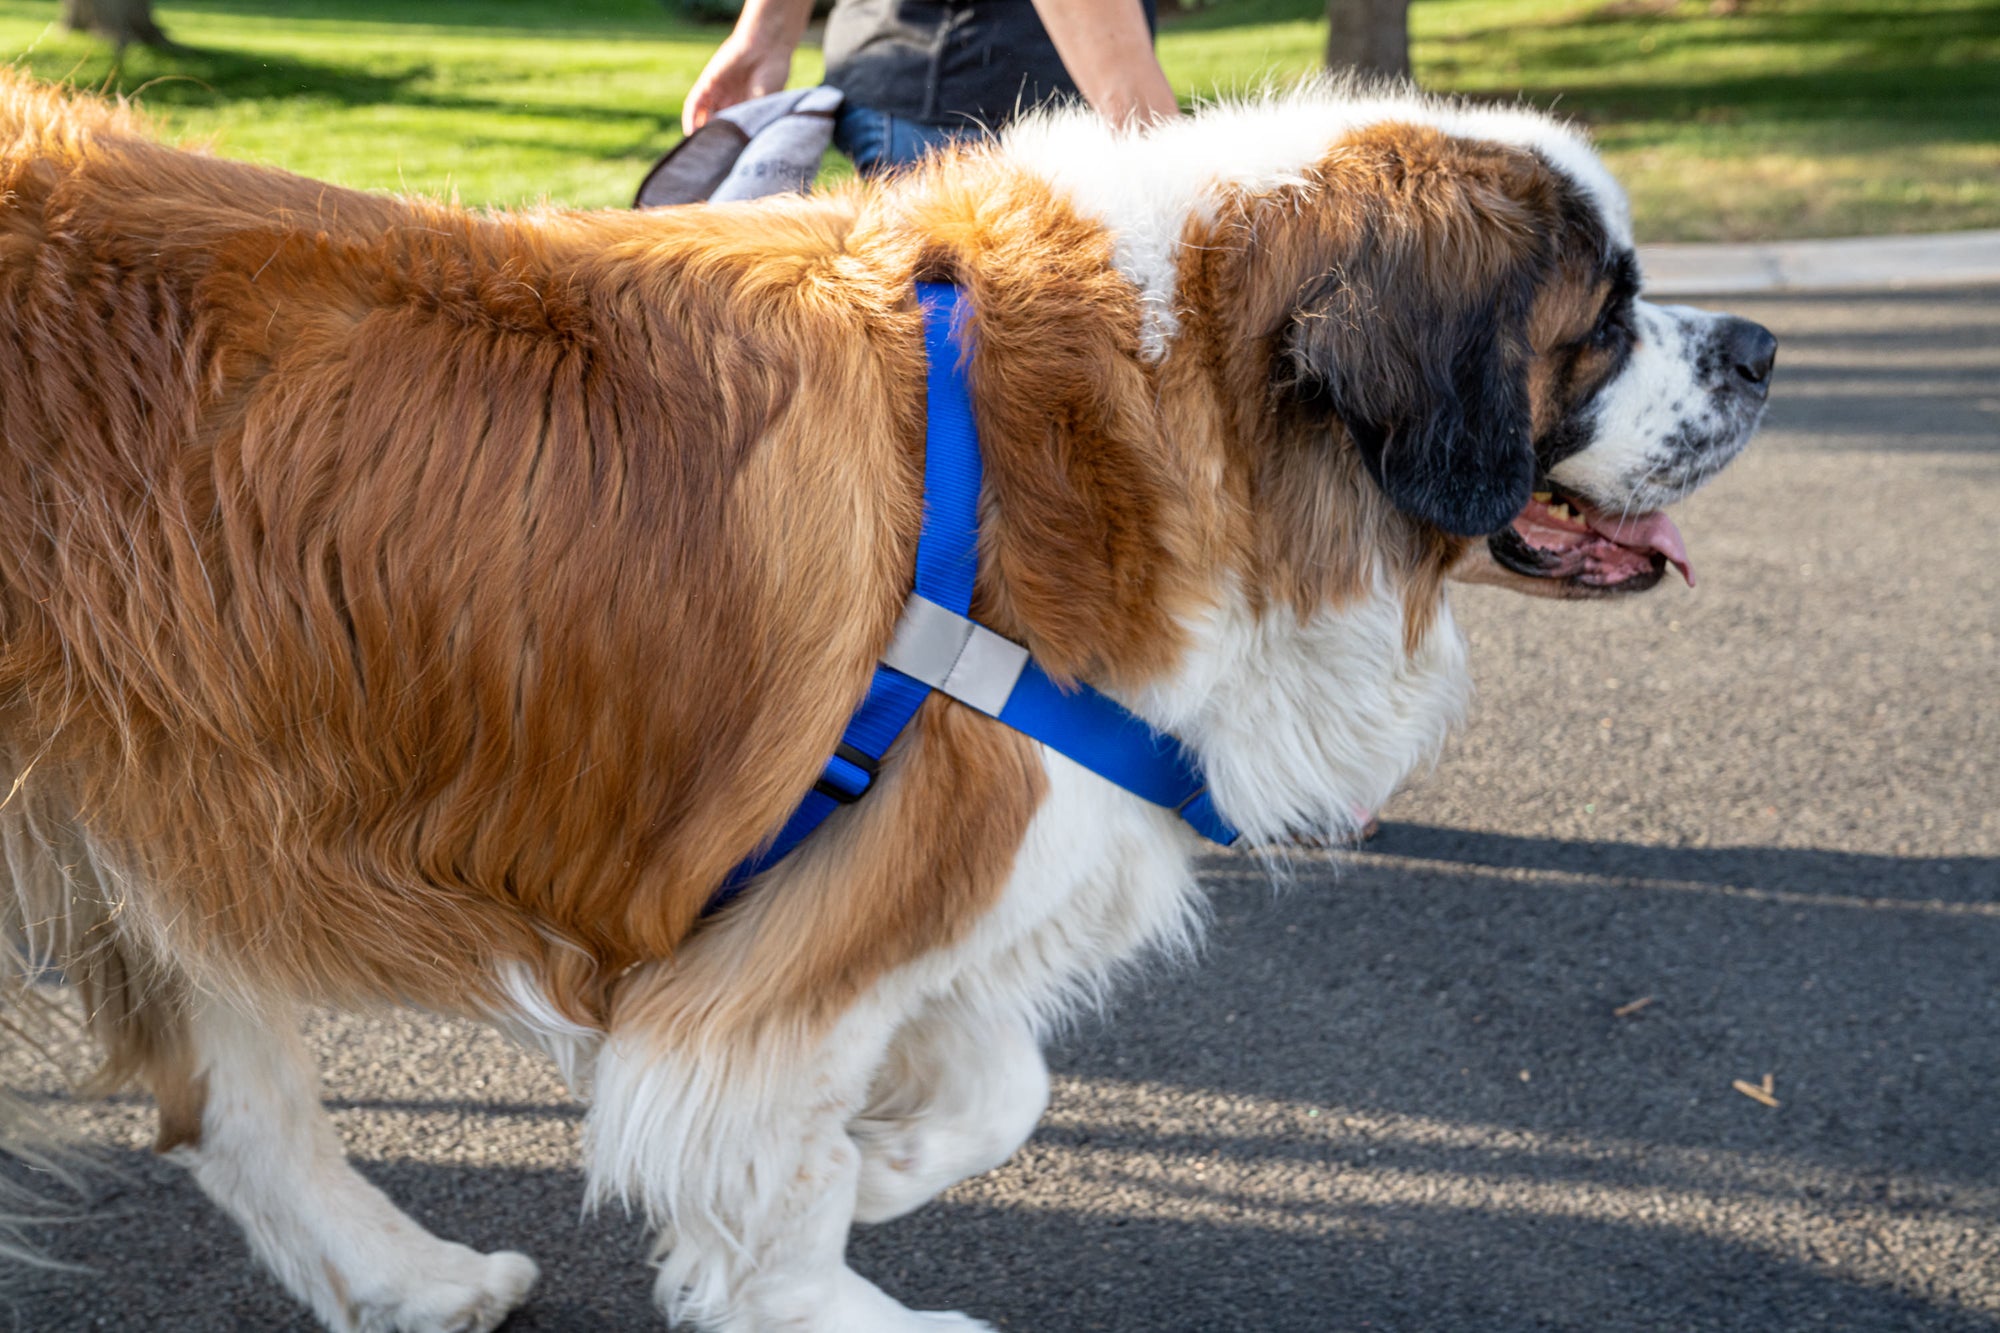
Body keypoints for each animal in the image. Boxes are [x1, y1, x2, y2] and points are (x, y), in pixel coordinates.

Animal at [0, 75, 1768, 1328]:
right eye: (1605, 321)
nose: (1756, 344)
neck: (1181, 402)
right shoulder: (829, 927)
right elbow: (773, 1159)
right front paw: (823, 1283)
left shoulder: (976, 863)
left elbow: (1001, 1087)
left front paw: (886, 1166)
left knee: (234, 1099)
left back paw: (412, 1279)